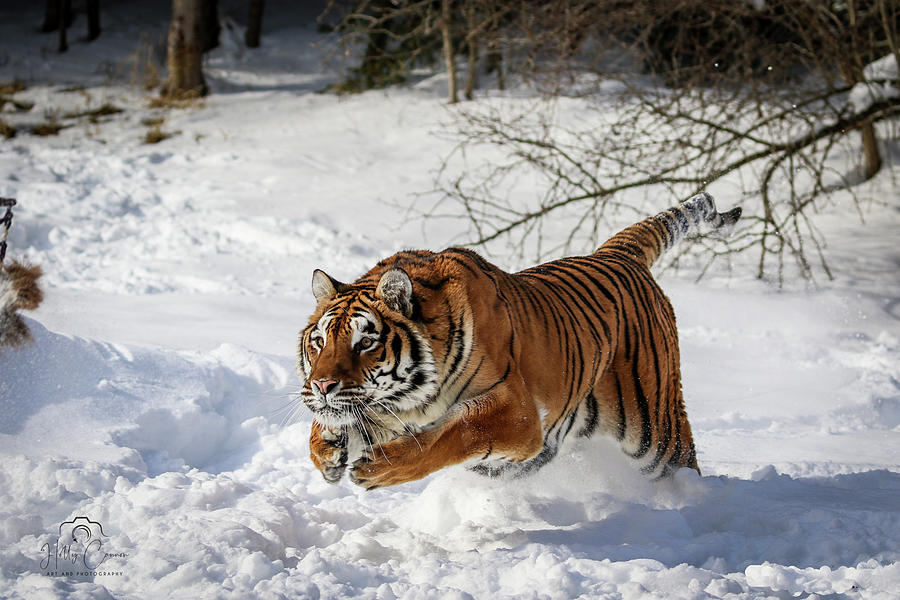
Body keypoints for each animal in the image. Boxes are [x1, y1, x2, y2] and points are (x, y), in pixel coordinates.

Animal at [296, 192, 740, 488]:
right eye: (319, 342)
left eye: (365, 343)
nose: (322, 385)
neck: (410, 401)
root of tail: (617, 253)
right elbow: (328, 427)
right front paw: (327, 452)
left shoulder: (518, 413)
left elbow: (456, 431)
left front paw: (379, 467)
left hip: (654, 429)